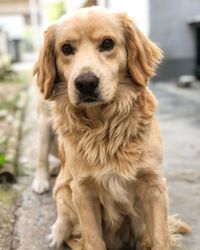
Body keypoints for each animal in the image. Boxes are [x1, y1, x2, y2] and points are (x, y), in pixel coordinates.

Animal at [33, 6, 191, 249]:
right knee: (64, 222)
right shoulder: (83, 191)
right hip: (63, 191)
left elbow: (160, 238)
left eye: (107, 43)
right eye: (66, 48)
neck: (103, 126)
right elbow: (93, 239)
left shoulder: (154, 185)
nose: (86, 83)